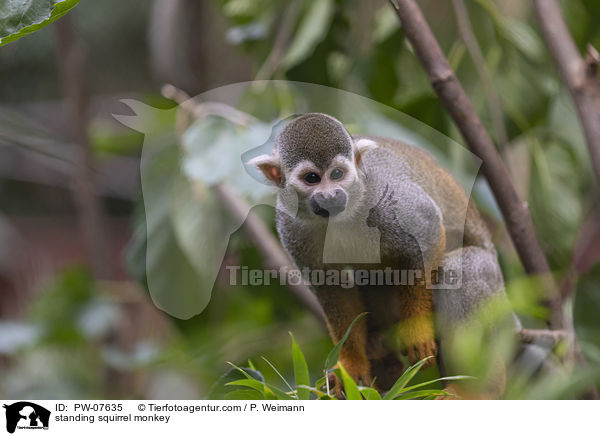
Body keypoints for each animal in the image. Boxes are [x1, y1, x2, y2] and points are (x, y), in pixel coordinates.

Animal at [246, 112, 516, 396]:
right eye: (312, 178)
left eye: (337, 174)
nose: (332, 195)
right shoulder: (291, 225)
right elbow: (331, 287)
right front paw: (349, 366)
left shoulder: (384, 198)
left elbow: (428, 230)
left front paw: (417, 331)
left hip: (493, 283)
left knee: (457, 271)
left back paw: (476, 390)